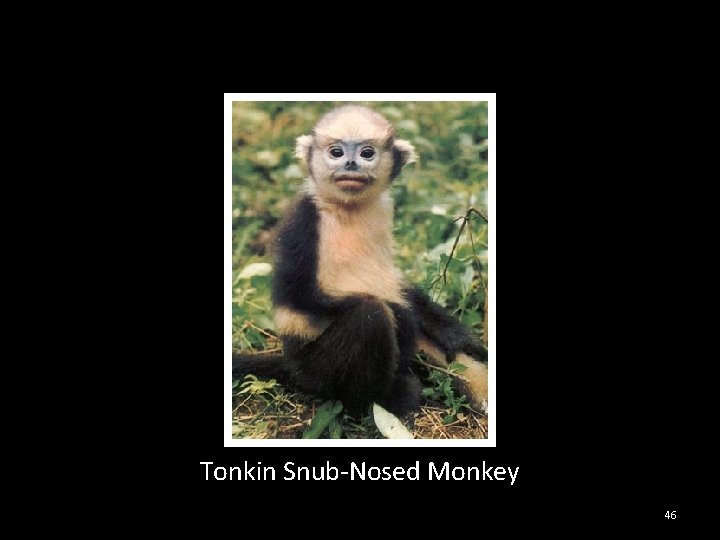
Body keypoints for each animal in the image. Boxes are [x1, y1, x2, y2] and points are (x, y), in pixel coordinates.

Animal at [232, 105, 488, 417]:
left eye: (367, 153)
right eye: (336, 152)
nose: (352, 163)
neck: (347, 208)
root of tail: (292, 364)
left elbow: (399, 284)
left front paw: (454, 334)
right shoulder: (303, 220)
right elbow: (299, 296)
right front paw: (404, 320)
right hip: (316, 367)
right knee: (371, 314)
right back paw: (380, 401)